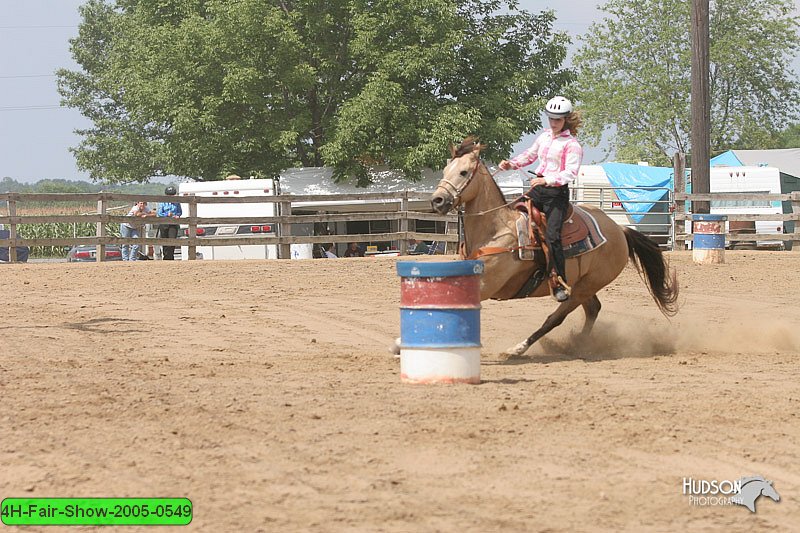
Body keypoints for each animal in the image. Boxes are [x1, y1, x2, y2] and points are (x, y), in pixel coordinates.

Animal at [428, 137, 680, 356]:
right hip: (581, 284)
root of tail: (620, 231)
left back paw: (519, 349)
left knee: (556, 318)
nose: (437, 200)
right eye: (445, 171)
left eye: (463, 172)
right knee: (593, 309)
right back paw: (578, 345)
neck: (495, 230)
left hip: (585, 287)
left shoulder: (487, 284)